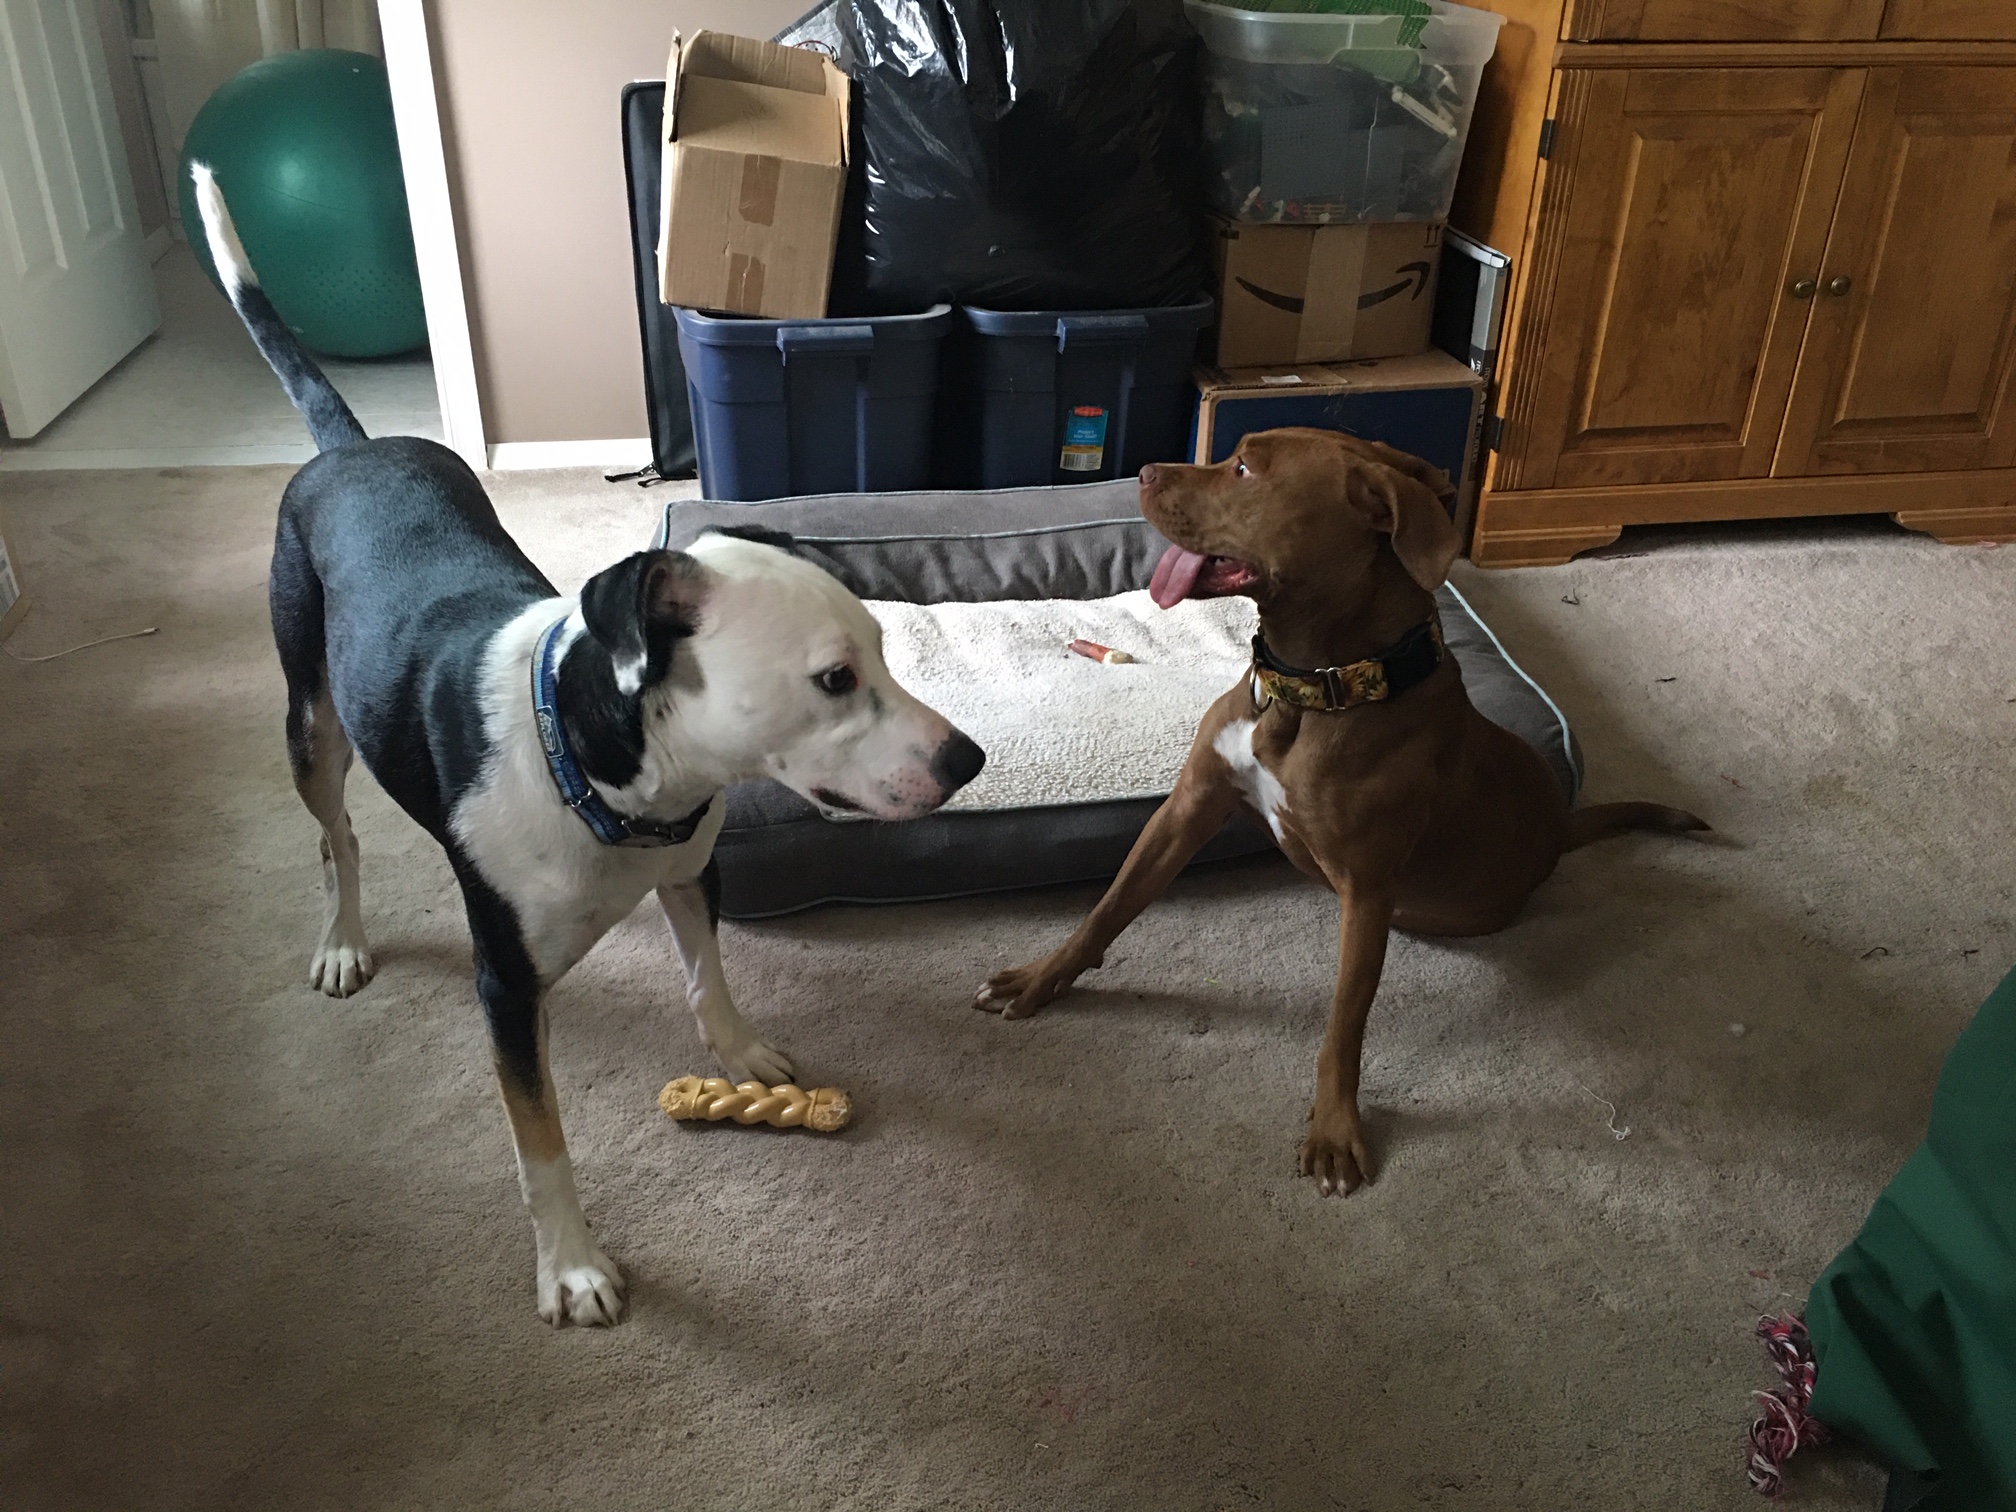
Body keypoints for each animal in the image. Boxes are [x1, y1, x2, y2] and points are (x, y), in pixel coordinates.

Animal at [193, 166, 984, 1325]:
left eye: (886, 648)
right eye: (835, 680)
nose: (969, 761)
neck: (604, 781)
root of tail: (353, 448)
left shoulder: (694, 870)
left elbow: (709, 978)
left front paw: (740, 1053)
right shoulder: (506, 991)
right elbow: (542, 1146)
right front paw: (570, 1265)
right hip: (311, 720)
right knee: (335, 834)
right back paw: (341, 938)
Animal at [976, 429, 1703, 1195]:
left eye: (1243, 468)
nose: (1142, 471)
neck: (1313, 689)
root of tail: (1562, 828)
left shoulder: (1368, 889)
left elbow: (1344, 1024)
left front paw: (1333, 1129)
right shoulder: (1189, 807)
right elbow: (1108, 907)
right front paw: (1040, 979)